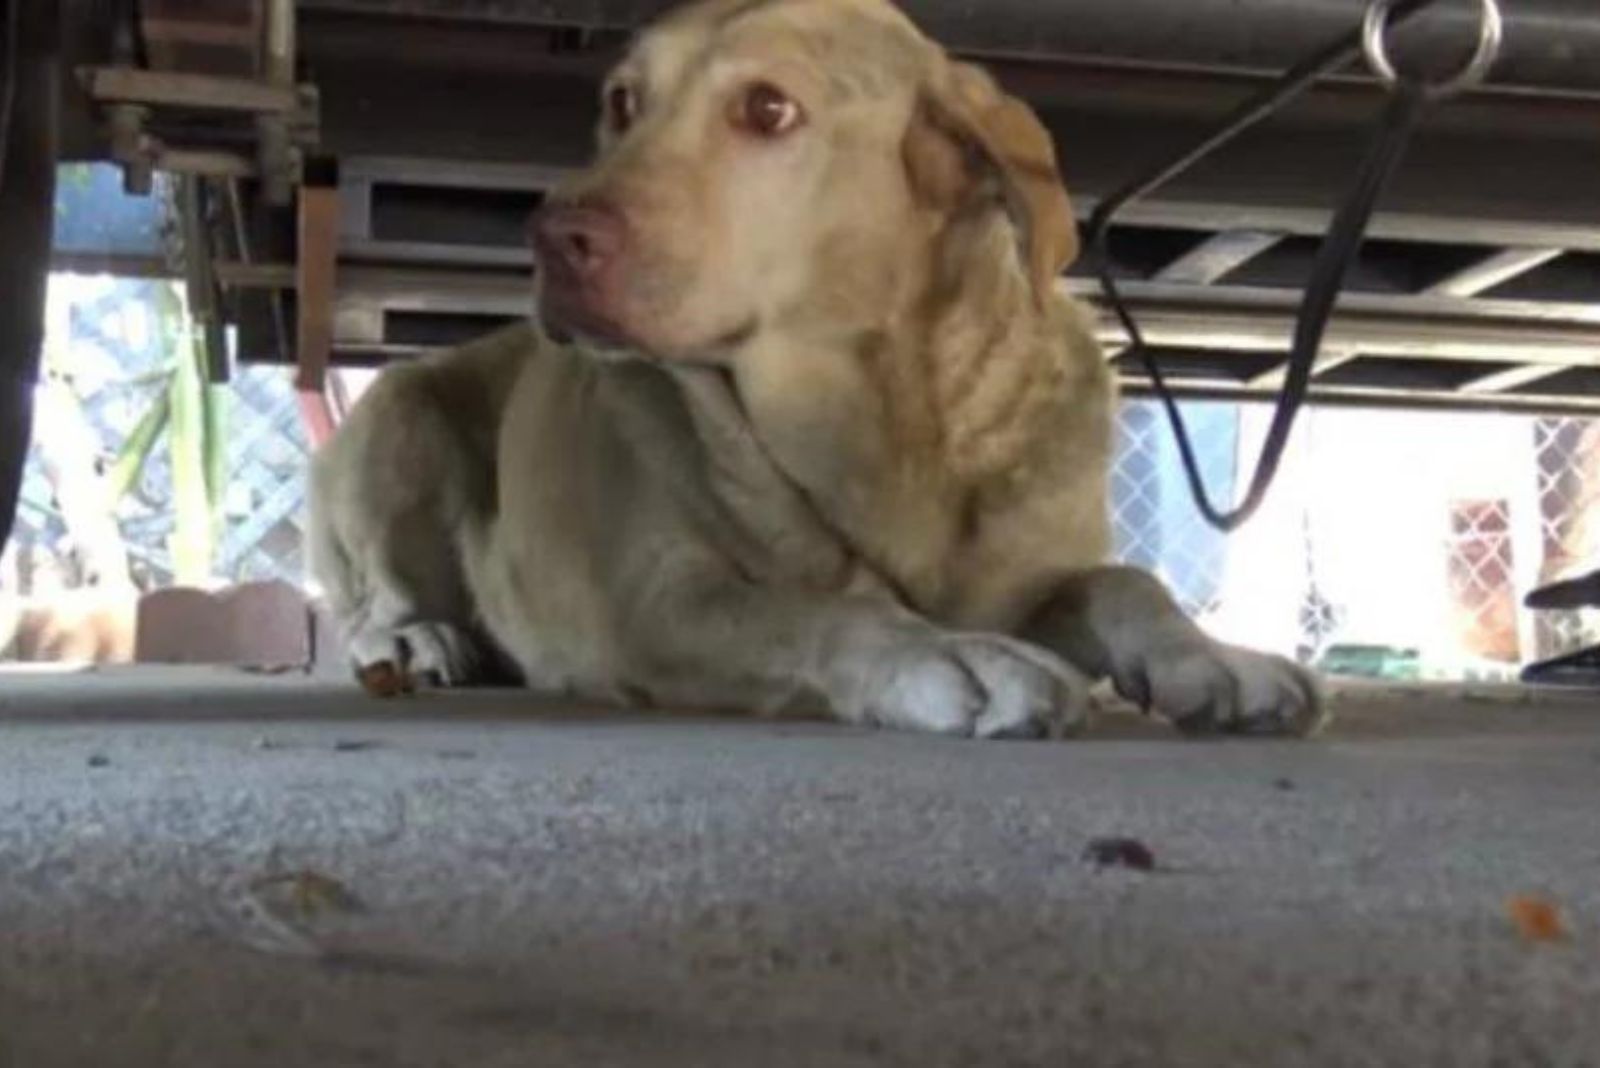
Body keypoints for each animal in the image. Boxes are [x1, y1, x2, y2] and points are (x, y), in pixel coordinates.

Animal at [302, 0, 1324, 738]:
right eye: (624, 102)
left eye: (768, 108)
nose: (551, 238)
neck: (885, 420)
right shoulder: (660, 604)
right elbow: (817, 610)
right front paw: (949, 655)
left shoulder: (1026, 578)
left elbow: (1123, 582)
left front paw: (1212, 656)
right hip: (401, 418)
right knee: (370, 600)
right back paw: (418, 635)